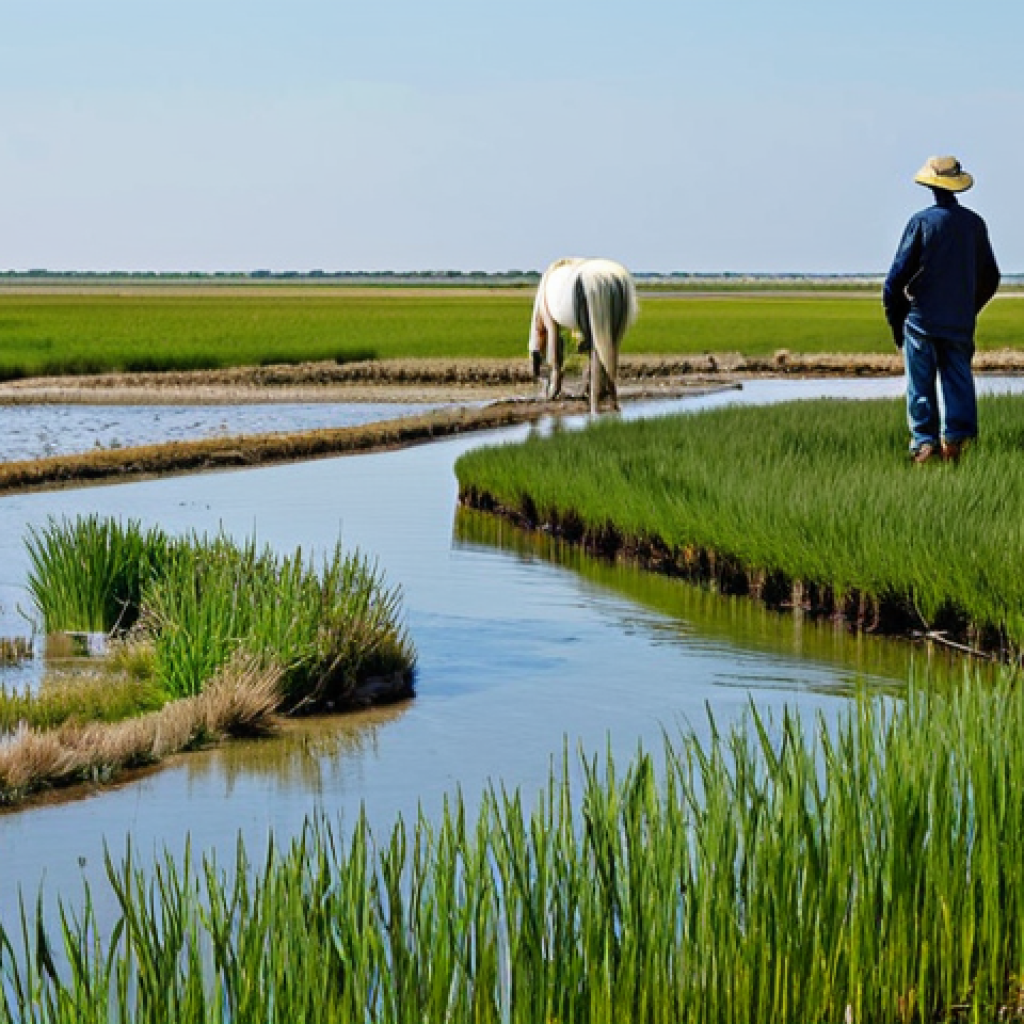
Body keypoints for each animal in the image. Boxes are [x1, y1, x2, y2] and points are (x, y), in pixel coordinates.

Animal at [528, 258, 638, 414]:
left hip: (594, 322)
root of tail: (610, 279)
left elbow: (554, 356)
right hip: (617, 327)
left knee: (596, 353)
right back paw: (611, 400)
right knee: (609, 356)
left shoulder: (551, 321)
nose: (544, 393)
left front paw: (554, 392)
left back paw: (594, 400)